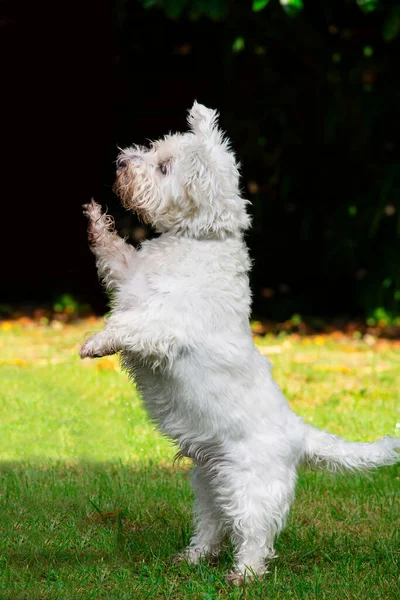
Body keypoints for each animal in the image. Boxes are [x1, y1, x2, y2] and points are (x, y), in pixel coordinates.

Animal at [79, 103, 398, 584]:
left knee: (255, 537)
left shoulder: (162, 323)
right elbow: (114, 253)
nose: (120, 162)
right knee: (213, 526)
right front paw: (95, 217)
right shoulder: (128, 279)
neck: (200, 239)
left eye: (164, 166)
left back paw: (242, 576)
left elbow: (127, 326)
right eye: (155, 149)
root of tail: (300, 435)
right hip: (210, 482)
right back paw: (191, 558)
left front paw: (95, 344)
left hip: (250, 487)